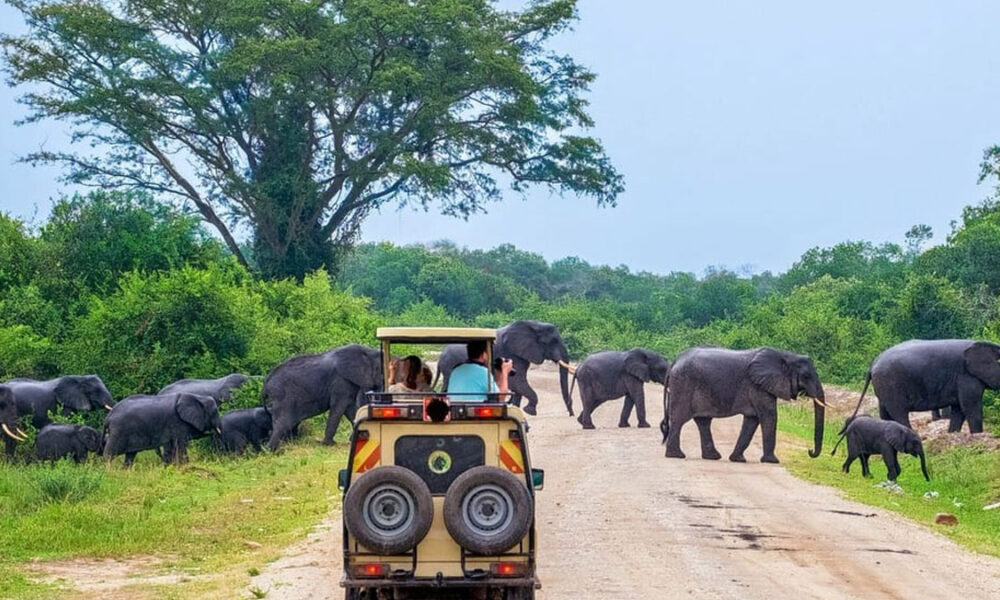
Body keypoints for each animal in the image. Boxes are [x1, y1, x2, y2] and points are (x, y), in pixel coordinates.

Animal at [436, 322, 576, 414]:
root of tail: (440, 357)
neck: (534, 325)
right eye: (552, 342)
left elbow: (518, 381)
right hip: (449, 365)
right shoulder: (512, 352)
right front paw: (529, 410)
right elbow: (516, 380)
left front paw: (516, 406)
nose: (571, 413)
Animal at [664, 346, 828, 464]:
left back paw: (712, 457)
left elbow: (752, 421)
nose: (810, 451)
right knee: (679, 419)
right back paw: (677, 456)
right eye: (806, 376)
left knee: (703, 421)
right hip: (683, 385)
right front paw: (773, 461)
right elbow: (769, 416)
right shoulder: (758, 386)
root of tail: (675, 361)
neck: (787, 355)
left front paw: (738, 460)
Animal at [848, 340, 1000, 434]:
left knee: (885, 412)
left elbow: (958, 409)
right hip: (891, 385)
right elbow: (970, 407)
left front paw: (953, 434)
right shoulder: (966, 376)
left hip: (883, 386)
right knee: (899, 412)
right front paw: (977, 435)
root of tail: (873, 364)